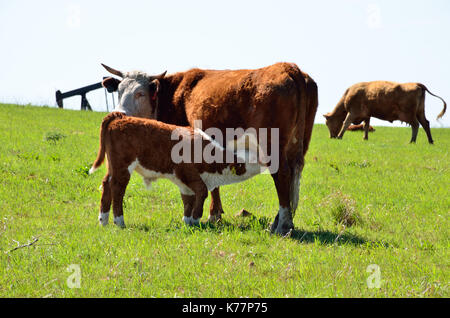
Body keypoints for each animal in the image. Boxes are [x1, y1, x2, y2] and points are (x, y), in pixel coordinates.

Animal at [88, 111, 264, 226]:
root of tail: (121, 116)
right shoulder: (189, 173)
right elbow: (202, 192)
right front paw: (195, 220)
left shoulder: (184, 181)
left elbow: (188, 200)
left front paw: (187, 221)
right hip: (123, 166)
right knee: (117, 188)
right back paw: (119, 222)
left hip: (113, 166)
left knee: (106, 184)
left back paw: (103, 220)